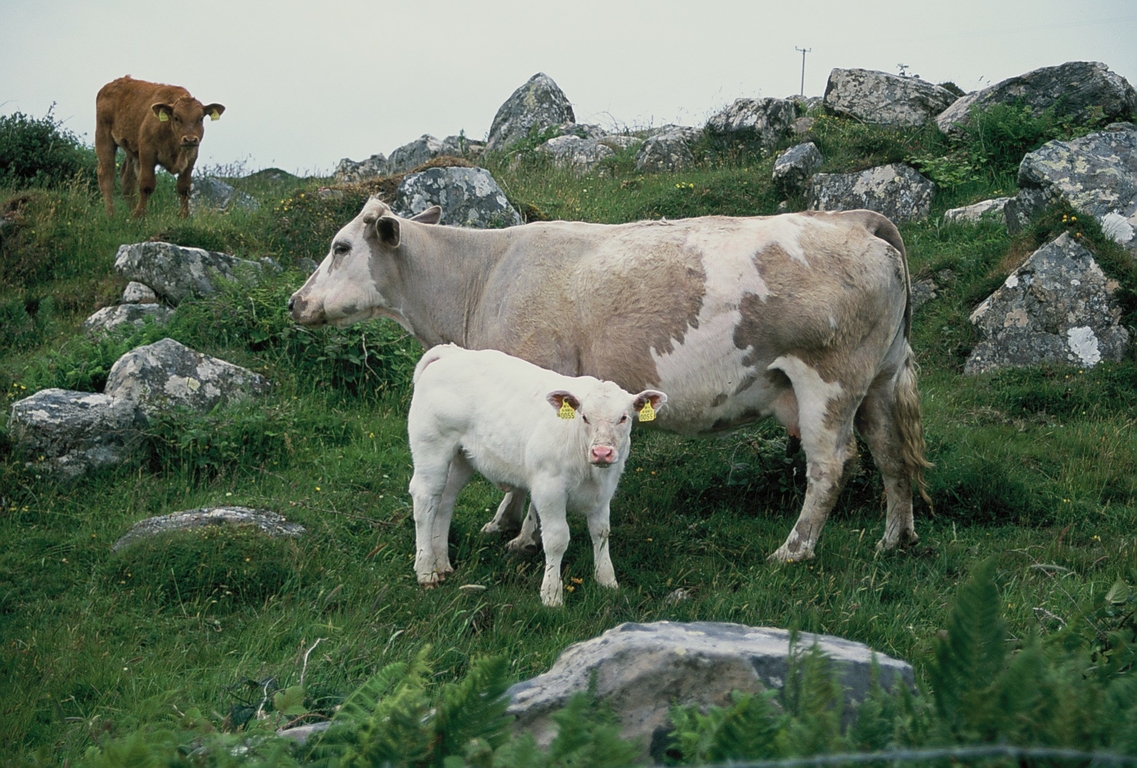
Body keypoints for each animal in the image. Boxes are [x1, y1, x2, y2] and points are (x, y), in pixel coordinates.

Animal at [96, 75, 225, 217]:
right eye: (176, 118)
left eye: (201, 118)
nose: (190, 139)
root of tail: (112, 84)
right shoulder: (147, 153)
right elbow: (146, 185)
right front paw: (139, 216)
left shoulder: (191, 157)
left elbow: (184, 188)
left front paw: (184, 216)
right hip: (104, 139)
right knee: (107, 176)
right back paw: (111, 214)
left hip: (131, 151)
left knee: (127, 181)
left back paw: (130, 213)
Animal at [286, 197, 932, 559]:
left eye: (340, 247)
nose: (295, 302)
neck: (480, 276)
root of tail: (857, 218)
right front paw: (503, 525)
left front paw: (520, 536)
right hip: (878, 378)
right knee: (893, 456)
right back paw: (894, 539)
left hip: (828, 379)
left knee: (830, 467)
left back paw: (792, 552)